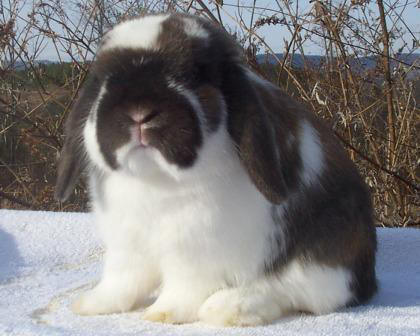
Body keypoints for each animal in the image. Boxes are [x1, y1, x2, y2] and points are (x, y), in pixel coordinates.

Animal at [54, 12, 376, 326]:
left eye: (195, 75)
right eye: (105, 78)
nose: (139, 113)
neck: (155, 178)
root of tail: (366, 275)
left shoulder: (195, 252)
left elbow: (183, 288)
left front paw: (164, 313)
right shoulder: (126, 245)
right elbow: (120, 282)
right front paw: (90, 305)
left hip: (320, 257)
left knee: (294, 290)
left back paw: (227, 309)